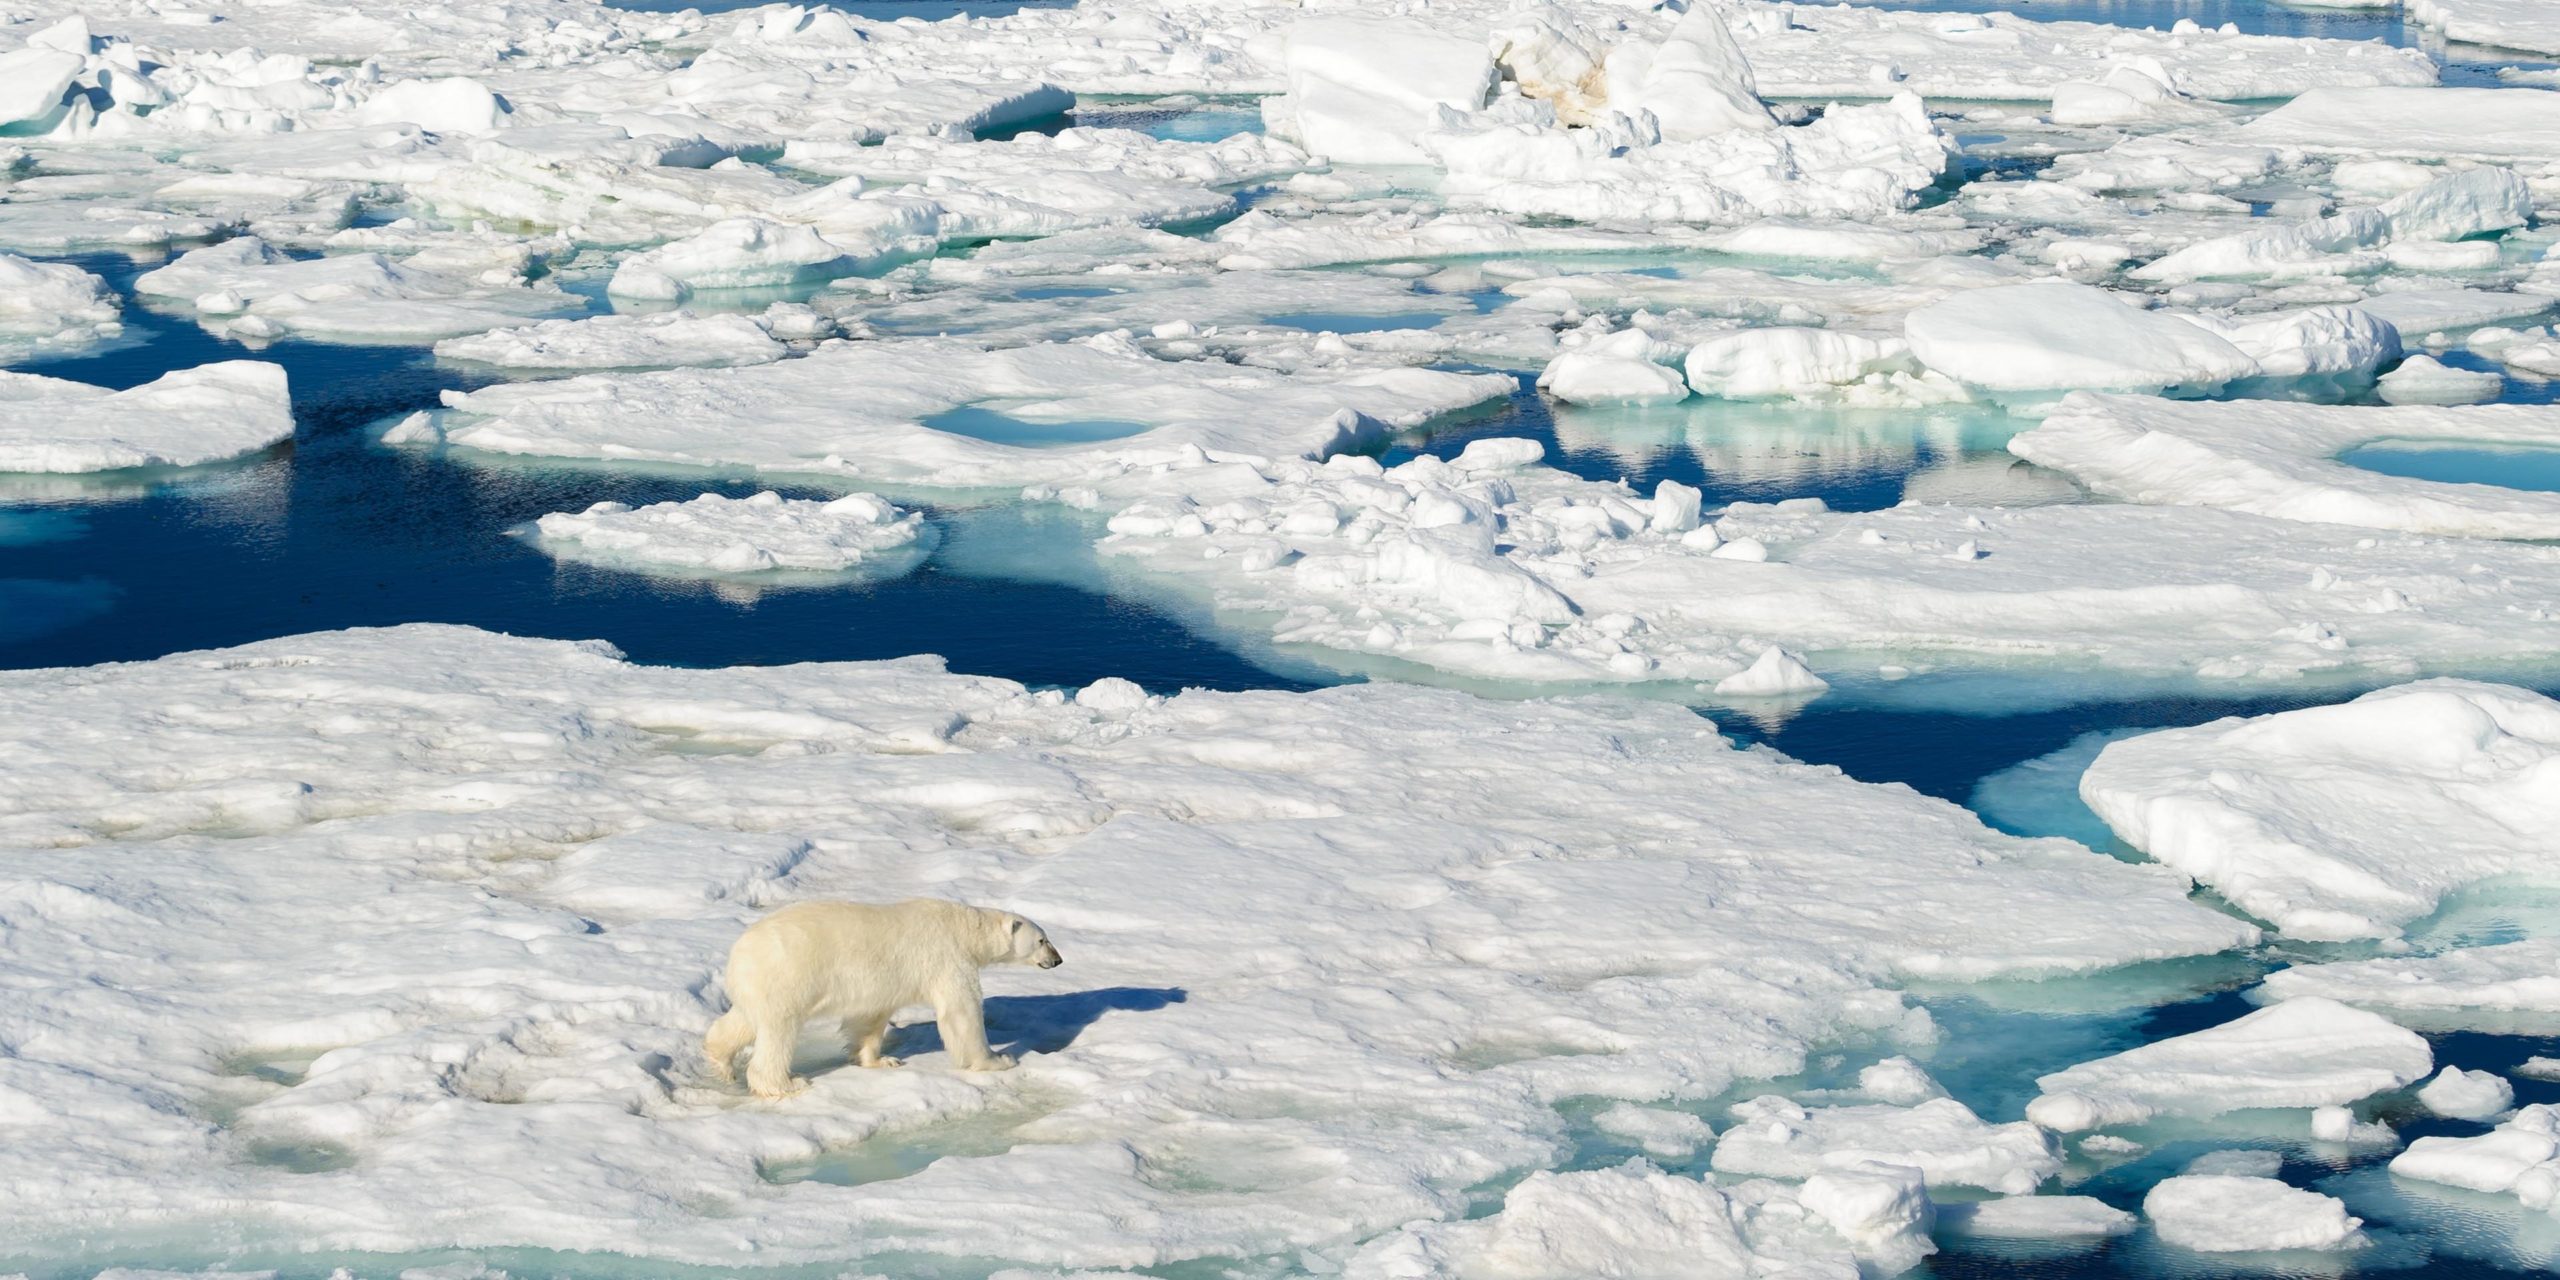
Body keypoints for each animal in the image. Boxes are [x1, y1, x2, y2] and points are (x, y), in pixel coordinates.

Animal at [701, 896, 1059, 1095]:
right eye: (1042, 940)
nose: (1058, 959)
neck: (964, 927)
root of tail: (739, 952)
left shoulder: (882, 983)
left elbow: (870, 1018)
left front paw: (880, 1060)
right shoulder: (947, 957)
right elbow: (962, 1012)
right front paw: (997, 1060)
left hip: (758, 984)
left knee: (743, 1020)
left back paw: (720, 1061)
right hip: (787, 976)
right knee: (778, 1031)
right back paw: (786, 1083)